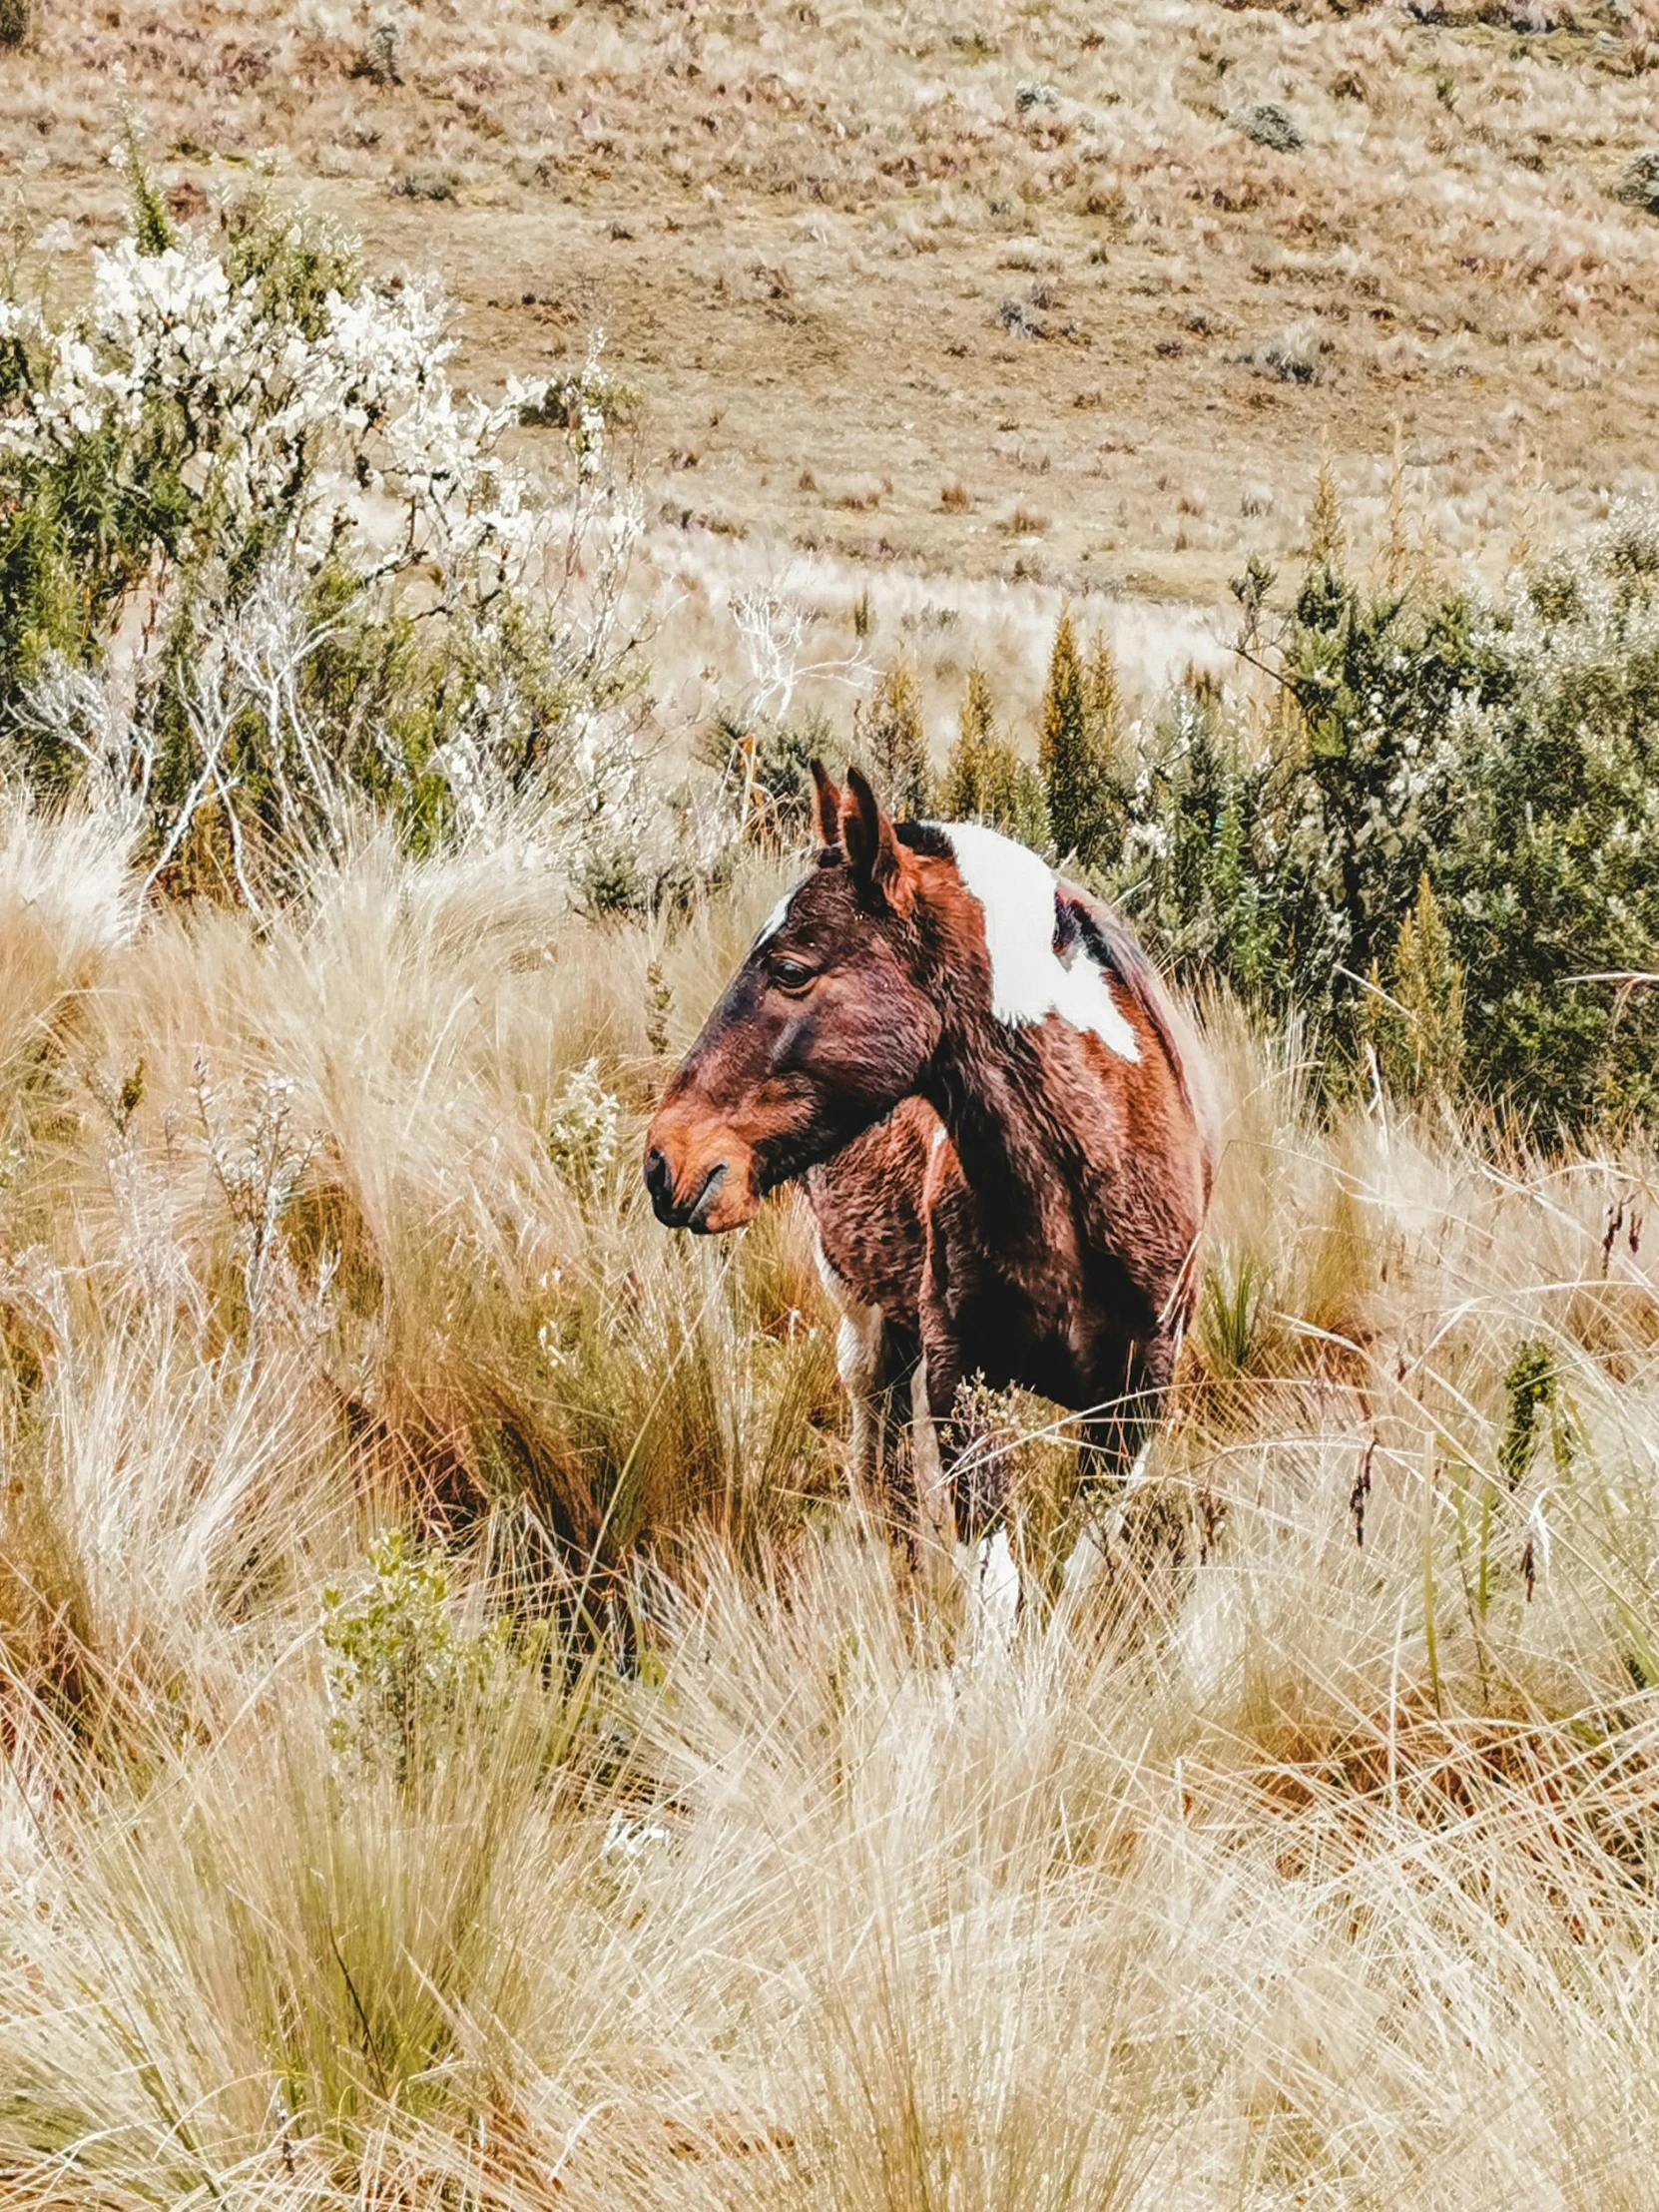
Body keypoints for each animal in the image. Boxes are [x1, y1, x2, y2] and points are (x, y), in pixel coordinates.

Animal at [650, 770, 1221, 1583]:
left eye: (790, 970)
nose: (667, 1159)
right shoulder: (963, 1380)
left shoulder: (1137, 1398)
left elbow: (1076, 1567)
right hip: (865, 1320)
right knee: (876, 1462)